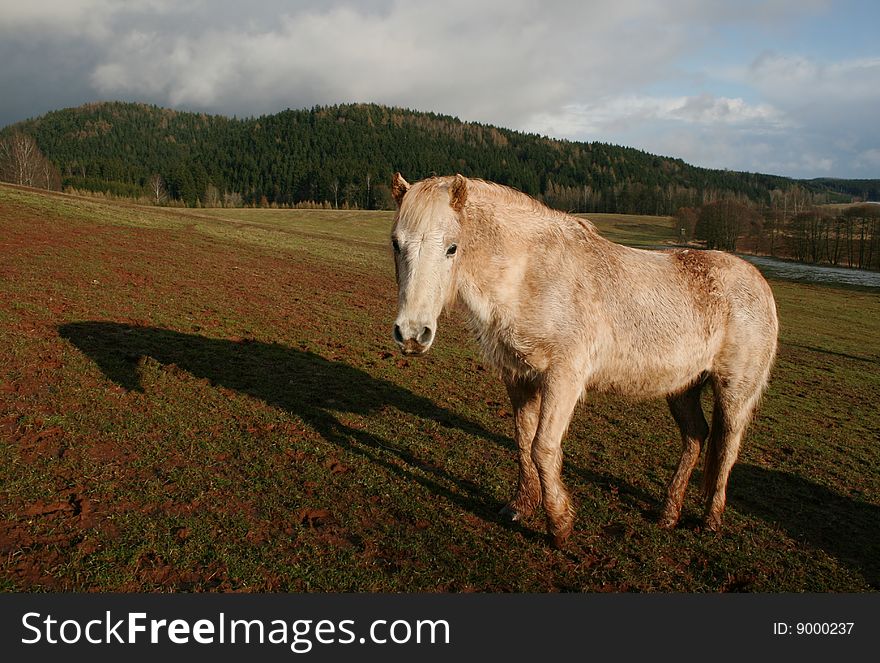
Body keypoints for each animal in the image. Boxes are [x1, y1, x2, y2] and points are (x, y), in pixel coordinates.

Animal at [390, 174, 776, 548]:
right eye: (396, 243)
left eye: (452, 248)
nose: (412, 334)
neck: (531, 276)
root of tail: (758, 281)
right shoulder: (519, 378)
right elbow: (523, 440)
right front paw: (520, 506)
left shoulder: (563, 378)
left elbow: (543, 447)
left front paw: (559, 526)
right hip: (683, 387)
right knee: (696, 438)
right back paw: (668, 514)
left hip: (734, 392)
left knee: (726, 446)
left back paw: (710, 520)